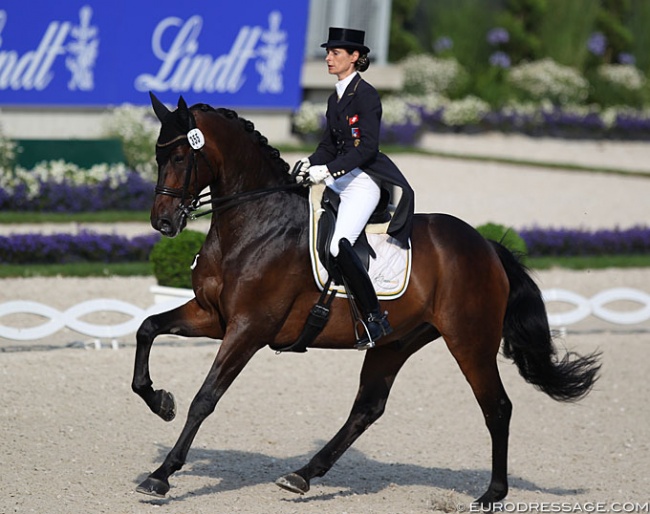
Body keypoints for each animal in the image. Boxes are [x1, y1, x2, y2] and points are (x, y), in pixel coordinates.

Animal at [130, 95, 596, 504]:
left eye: (179, 157)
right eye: (157, 156)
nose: (162, 222)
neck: (254, 224)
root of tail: (486, 245)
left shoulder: (249, 328)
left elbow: (205, 398)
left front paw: (161, 475)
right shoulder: (212, 316)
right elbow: (147, 329)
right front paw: (160, 401)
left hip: (470, 341)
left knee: (497, 408)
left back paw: (492, 494)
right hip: (396, 342)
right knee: (367, 408)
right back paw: (302, 475)